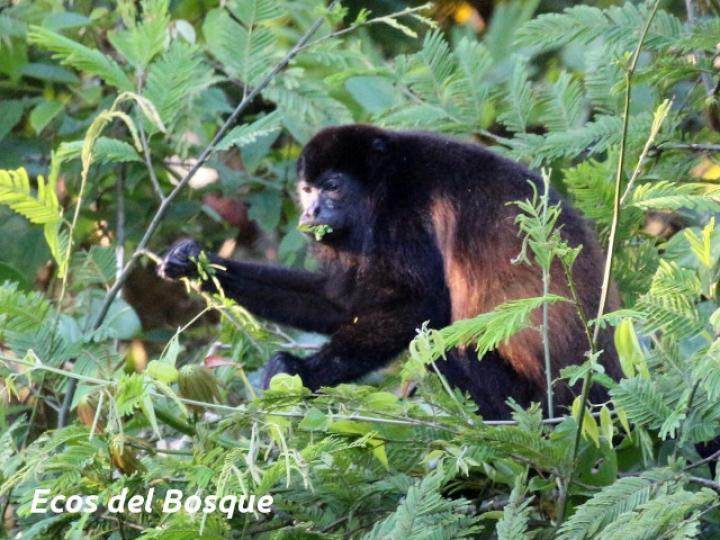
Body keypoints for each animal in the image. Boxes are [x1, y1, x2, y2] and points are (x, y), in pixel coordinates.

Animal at [159, 124, 622, 419]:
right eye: (307, 190)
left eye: (332, 186)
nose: (310, 212)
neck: (384, 181)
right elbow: (341, 304)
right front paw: (197, 262)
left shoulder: (405, 214)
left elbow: (421, 306)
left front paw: (300, 371)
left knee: (440, 341)